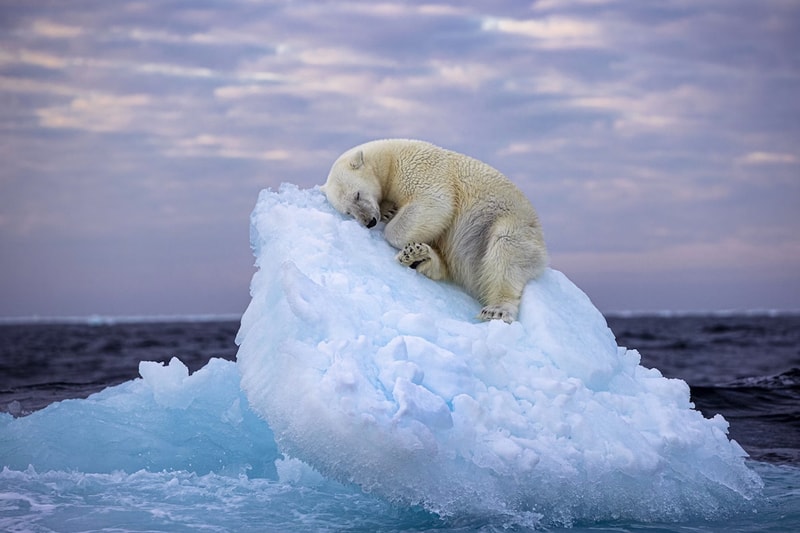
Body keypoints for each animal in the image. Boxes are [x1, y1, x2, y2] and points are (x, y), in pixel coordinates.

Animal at [322, 139, 548, 322]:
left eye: (357, 195)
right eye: (348, 212)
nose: (369, 221)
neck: (389, 158)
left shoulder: (419, 168)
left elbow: (434, 203)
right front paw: (389, 211)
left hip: (509, 223)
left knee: (505, 251)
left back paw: (497, 309)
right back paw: (418, 256)